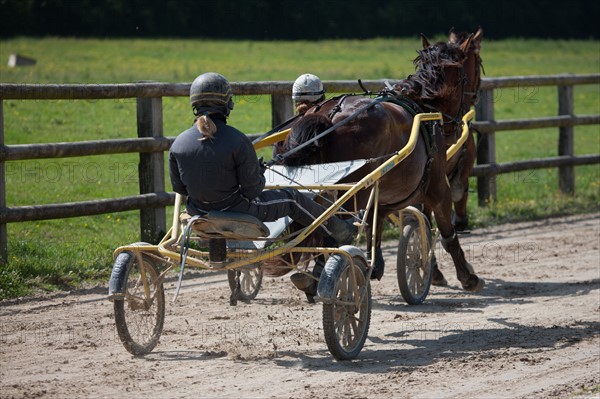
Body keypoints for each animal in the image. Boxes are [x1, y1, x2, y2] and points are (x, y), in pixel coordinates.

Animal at [274, 27, 486, 290]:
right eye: (477, 65)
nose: (473, 100)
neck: (422, 106)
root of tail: (329, 115)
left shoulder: (383, 193)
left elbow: (377, 225)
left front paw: (377, 265)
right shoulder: (437, 185)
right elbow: (445, 232)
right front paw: (466, 275)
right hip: (353, 193)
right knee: (333, 232)